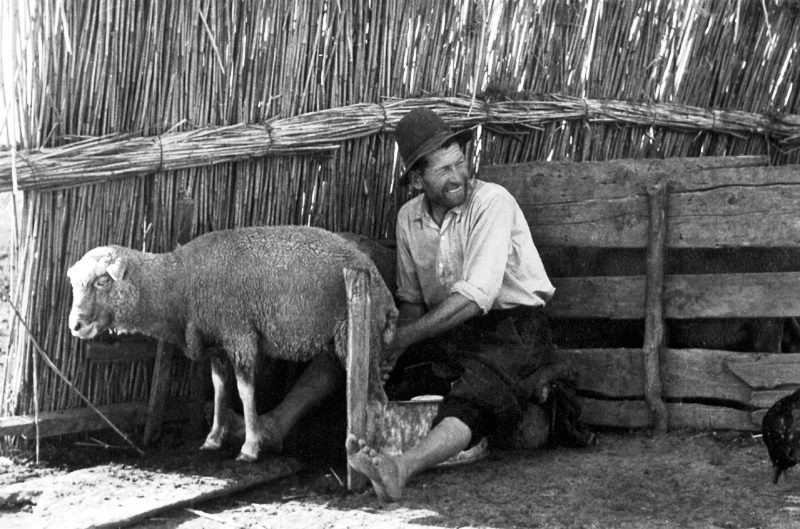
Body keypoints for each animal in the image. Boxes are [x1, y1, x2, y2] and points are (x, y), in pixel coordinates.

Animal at [67, 225, 398, 460]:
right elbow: (219, 388)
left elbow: (244, 390)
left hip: (360, 335)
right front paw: (213, 438)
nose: (75, 325)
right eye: (74, 285)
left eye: (102, 281)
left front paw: (249, 448)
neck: (179, 283)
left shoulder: (240, 334)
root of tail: (384, 292)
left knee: (376, 397)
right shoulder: (217, 342)